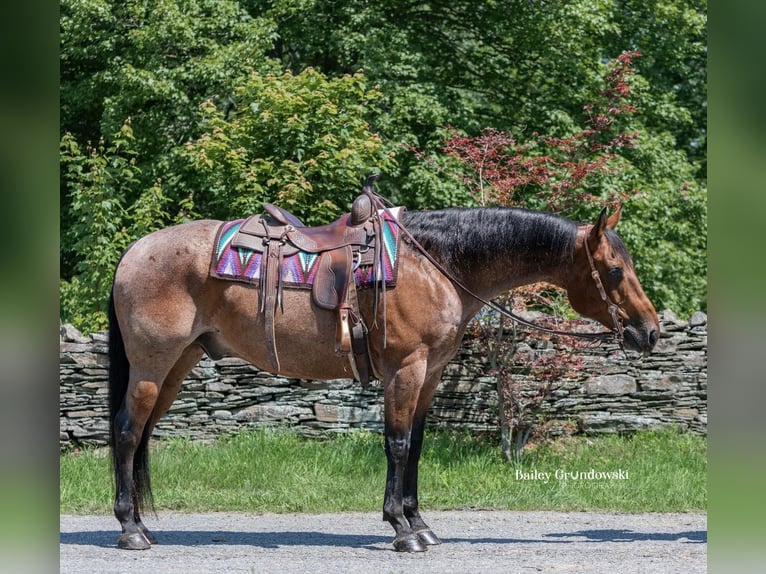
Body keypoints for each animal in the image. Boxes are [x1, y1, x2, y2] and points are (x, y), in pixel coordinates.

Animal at [106, 197, 660, 552]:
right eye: (614, 270)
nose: (649, 332)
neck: (437, 264)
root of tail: (133, 253)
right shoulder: (406, 369)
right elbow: (395, 444)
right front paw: (402, 530)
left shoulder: (430, 375)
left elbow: (415, 446)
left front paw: (420, 522)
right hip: (153, 365)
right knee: (128, 434)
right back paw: (131, 530)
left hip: (178, 365)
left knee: (142, 434)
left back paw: (143, 525)